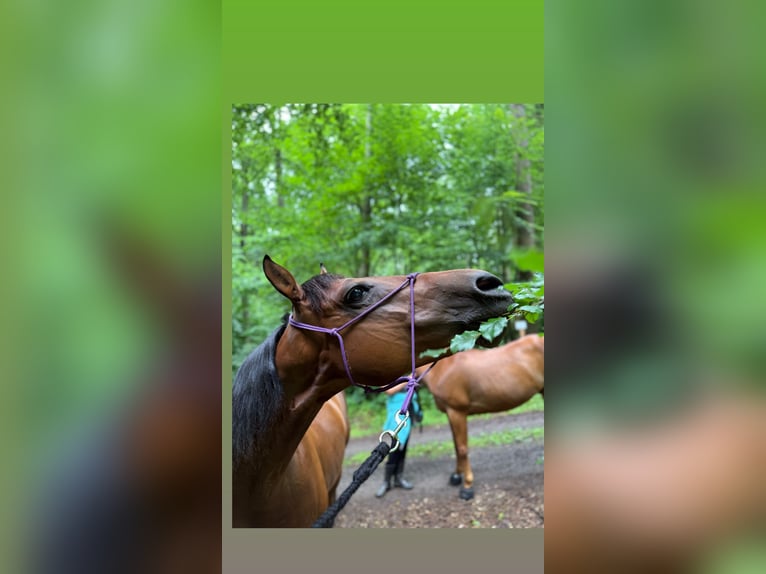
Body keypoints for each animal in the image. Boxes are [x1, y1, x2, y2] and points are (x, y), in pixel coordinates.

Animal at [417, 334, 544, 500]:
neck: (443, 368)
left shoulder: (457, 412)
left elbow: (462, 448)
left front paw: (467, 486)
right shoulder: (450, 413)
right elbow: (456, 446)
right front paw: (456, 476)